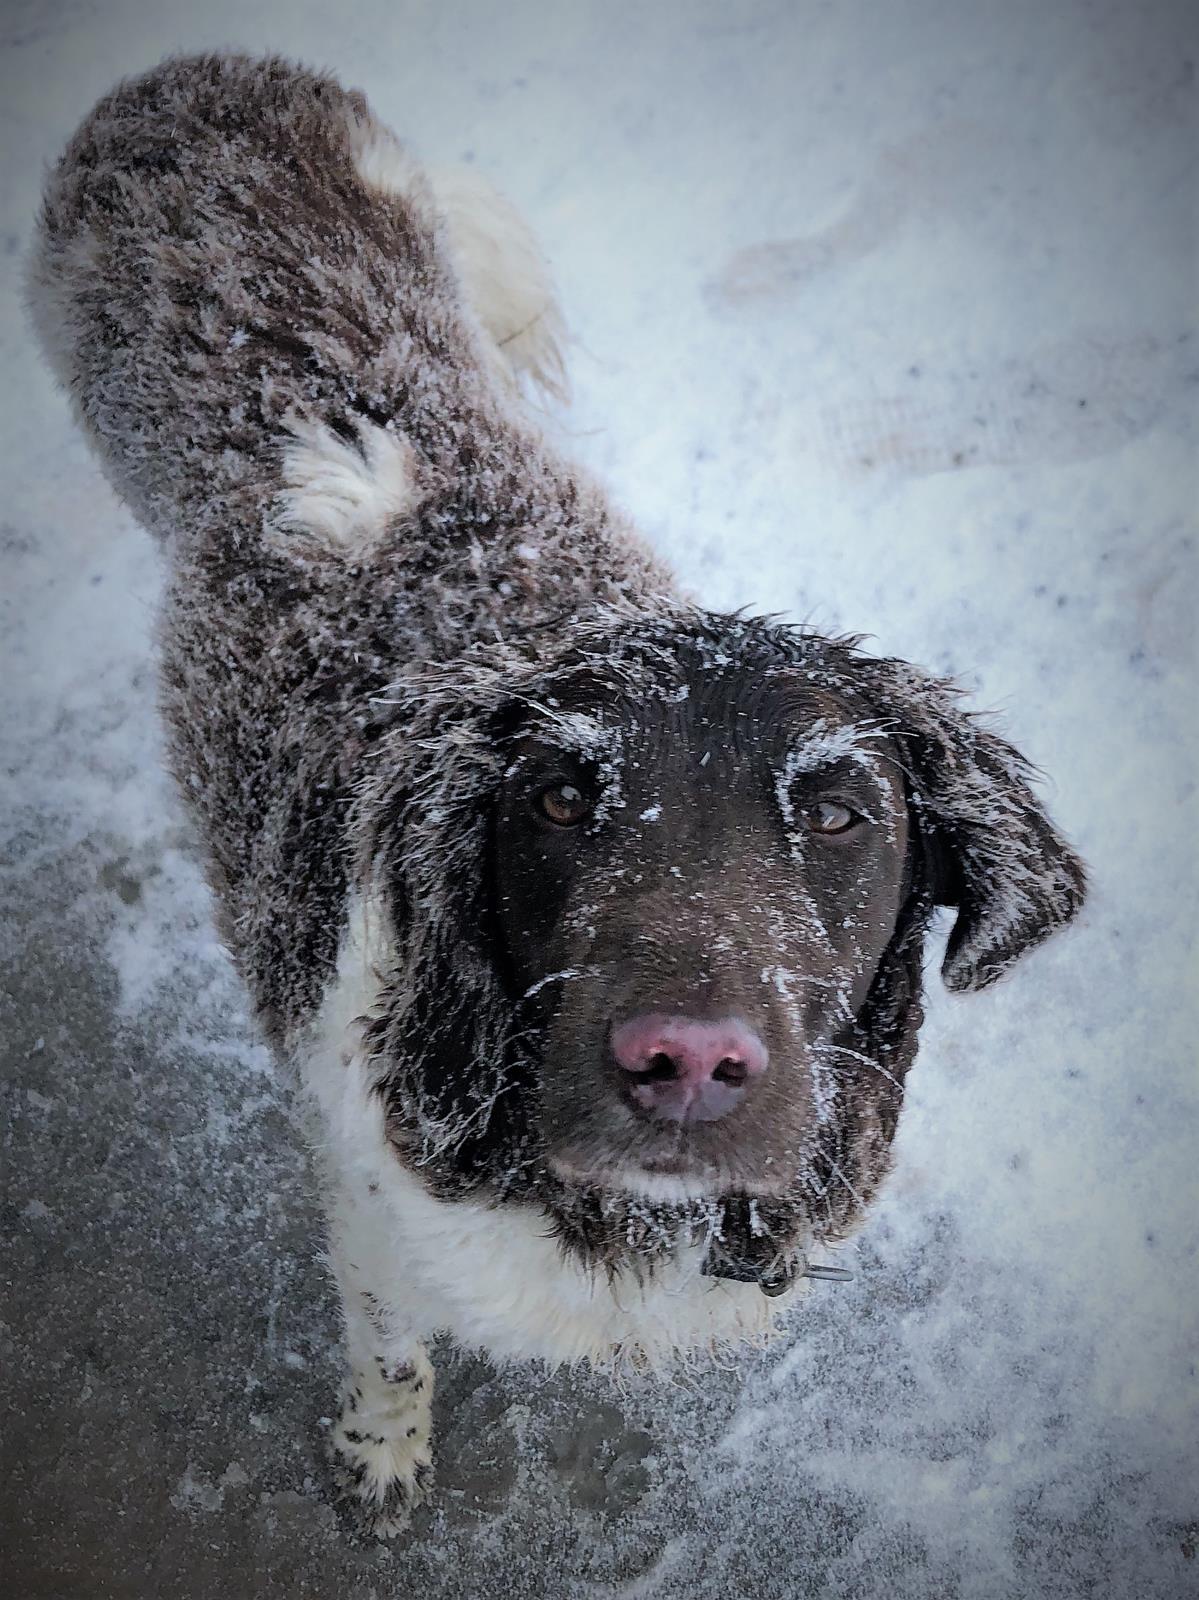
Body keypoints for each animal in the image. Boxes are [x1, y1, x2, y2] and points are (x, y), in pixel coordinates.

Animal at [28, 53, 1082, 1536]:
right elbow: (389, 1345)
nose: (684, 1061)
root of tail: (196, 77)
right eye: (557, 803)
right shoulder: (369, 1203)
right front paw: (381, 1456)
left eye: (836, 815)